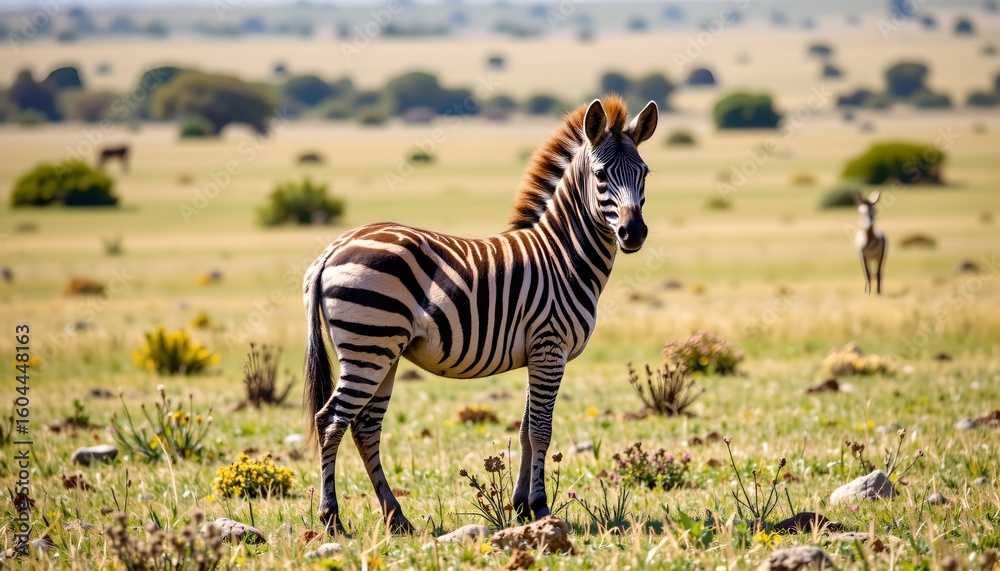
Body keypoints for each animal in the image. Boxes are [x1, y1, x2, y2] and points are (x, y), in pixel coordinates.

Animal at [302, 95, 658, 534]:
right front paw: (540, 508)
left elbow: (524, 431)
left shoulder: (537, 353)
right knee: (330, 420)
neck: (564, 255)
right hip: (368, 345)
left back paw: (397, 517)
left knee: (365, 426)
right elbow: (541, 430)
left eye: (644, 173)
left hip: (380, 352)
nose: (633, 233)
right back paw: (332, 519)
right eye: (601, 174)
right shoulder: (550, 347)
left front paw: (520, 506)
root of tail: (333, 248)